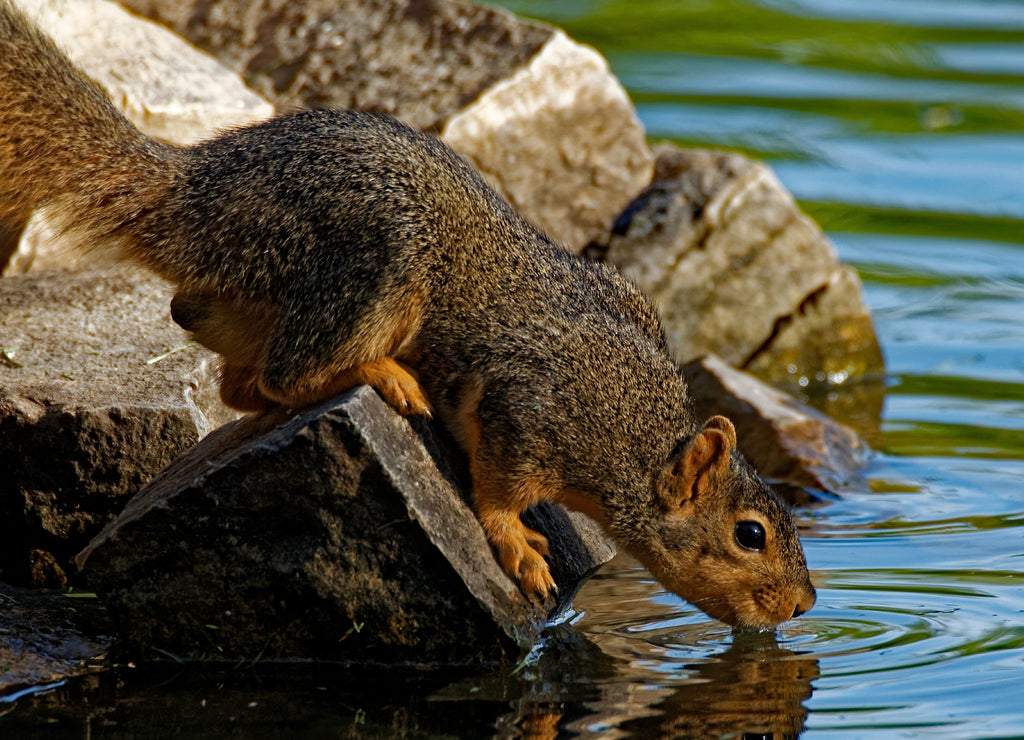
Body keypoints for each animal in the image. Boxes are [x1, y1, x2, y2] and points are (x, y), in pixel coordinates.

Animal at [0, 1, 815, 628]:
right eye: (750, 535)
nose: (804, 604)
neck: (632, 431)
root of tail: (191, 198)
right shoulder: (530, 407)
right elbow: (500, 489)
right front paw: (518, 546)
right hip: (381, 260)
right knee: (288, 373)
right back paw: (381, 374)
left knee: (238, 383)